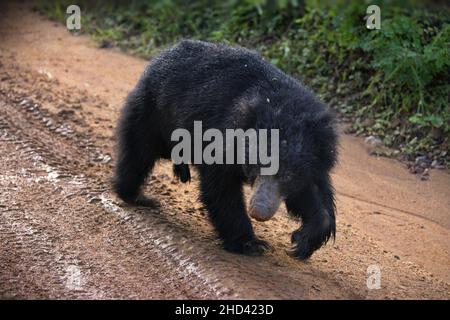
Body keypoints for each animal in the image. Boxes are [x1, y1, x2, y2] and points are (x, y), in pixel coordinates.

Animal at [113, 40, 338, 260]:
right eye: (256, 165)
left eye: (289, 175)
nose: (259, 211)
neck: (283, 108)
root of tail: (161, 56)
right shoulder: (221, 138)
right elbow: (221, 187)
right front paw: (251, 244)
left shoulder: (315, 160)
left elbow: (312, 195)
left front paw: (302, 242)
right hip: (153, 113)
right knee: (138, 151)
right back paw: (136, 196)